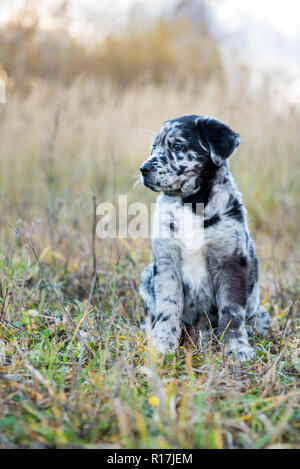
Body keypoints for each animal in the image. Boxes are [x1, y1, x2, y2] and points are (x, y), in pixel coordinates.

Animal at [139, 114, 270, 362]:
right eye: (153, 146)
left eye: (177, 146)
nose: (143, 168)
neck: (190, 203)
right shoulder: (166, 261)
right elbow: (167, 308)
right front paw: (162, 346)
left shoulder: (231, 261)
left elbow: (231, 312)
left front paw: (237, 347)